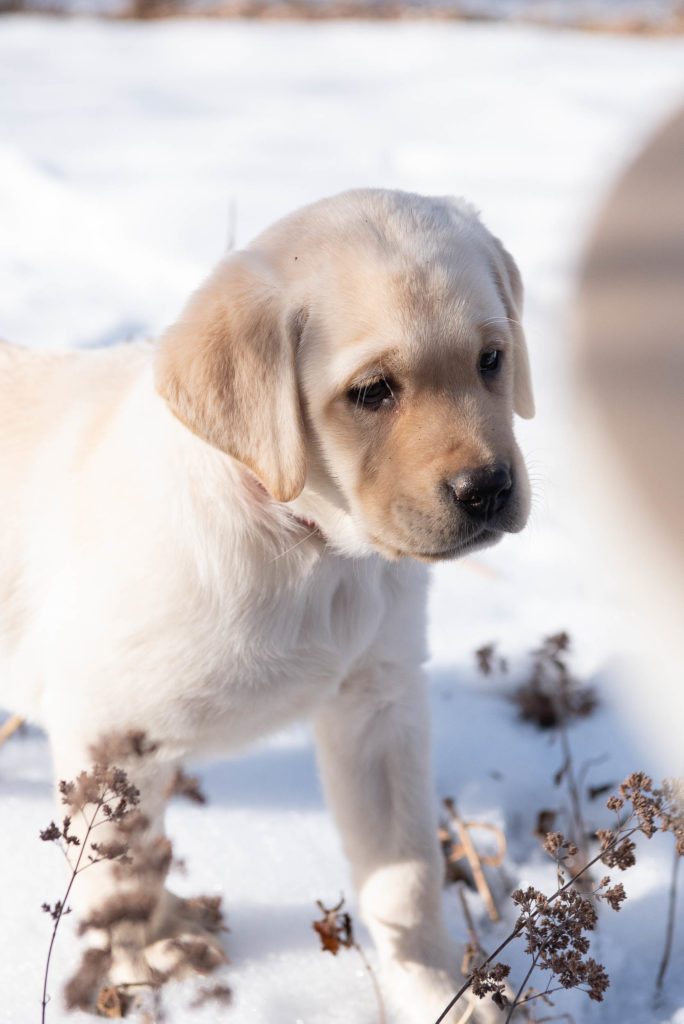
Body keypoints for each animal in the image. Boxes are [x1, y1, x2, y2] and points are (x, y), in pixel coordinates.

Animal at [0, 188, 532, 1019]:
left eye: (491, 360)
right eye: (373, 391)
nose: (488, 487)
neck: (307, 547)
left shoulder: (378, 705)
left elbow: (406, 876)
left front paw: (434, 989)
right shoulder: (104, 728)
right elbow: (120, 868)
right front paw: (140, 961)